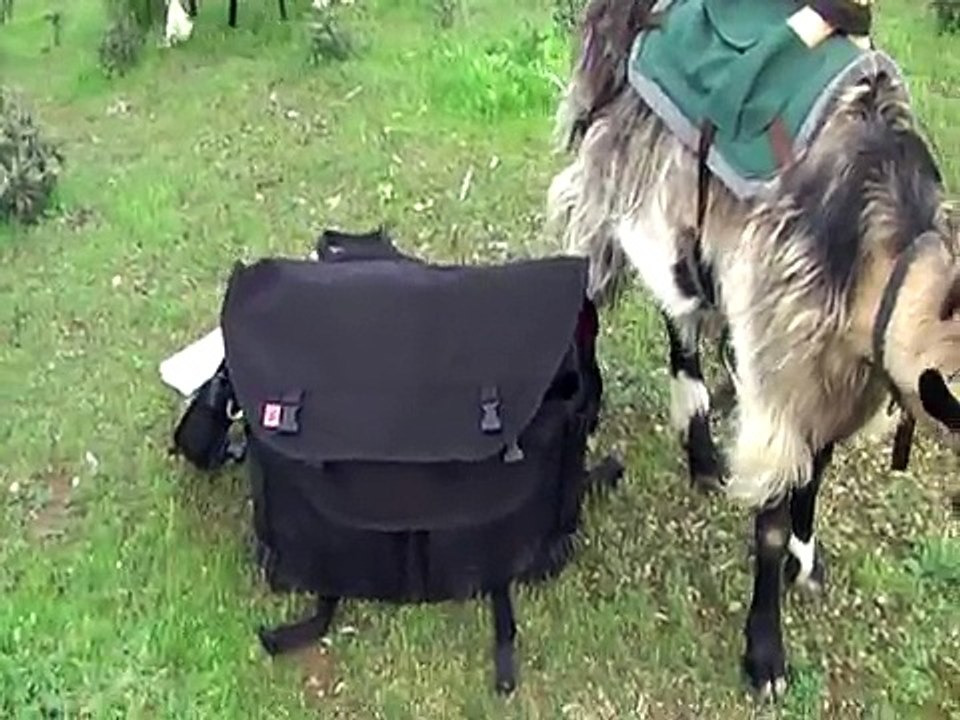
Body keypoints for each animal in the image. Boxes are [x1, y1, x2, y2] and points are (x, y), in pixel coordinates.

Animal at [546, 0, 960, 700]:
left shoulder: (829, 375)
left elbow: (814, 474)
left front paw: (805, 558)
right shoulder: (783, 370)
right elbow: (768, 519)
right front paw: (765, 655)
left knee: (680, 315)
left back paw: (701, 450)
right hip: (614, 179)